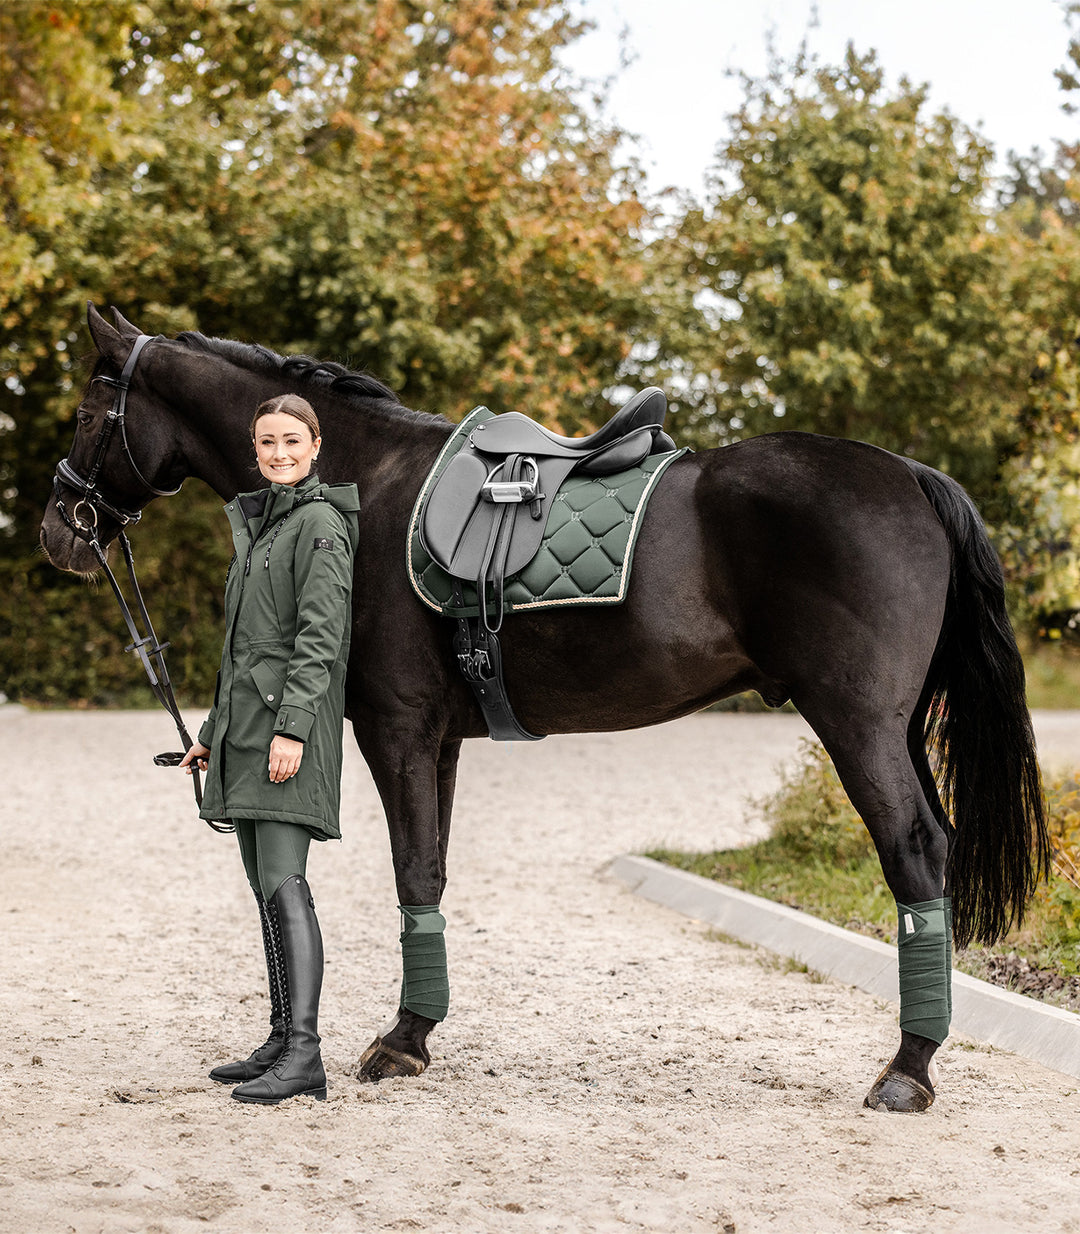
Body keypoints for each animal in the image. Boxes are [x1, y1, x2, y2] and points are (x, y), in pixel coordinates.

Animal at [40, 306, 1046, 1110]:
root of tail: (909, 475)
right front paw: (417, 1034)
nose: (60, 531)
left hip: (857, 725)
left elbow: (412, 872)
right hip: (897, 728)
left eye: (89, 414)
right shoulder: (438, 740)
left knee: (914, 853)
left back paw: (907, 1068)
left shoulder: (397, 730)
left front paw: (399, 1043)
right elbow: (434, 872)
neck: (365, 481)